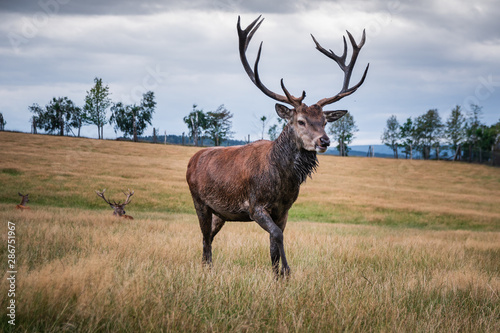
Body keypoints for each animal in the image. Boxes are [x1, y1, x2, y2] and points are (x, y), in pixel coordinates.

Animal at [186, 15, 370, 276]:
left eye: (324, 121)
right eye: (301, 120)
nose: (324, 140)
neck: (282, 181)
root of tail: (192, 160)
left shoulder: (284, 209)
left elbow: (275, 243)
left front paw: (277, 276)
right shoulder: (255, 206)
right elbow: (277, 236)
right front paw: (287, 271)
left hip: (221, 212)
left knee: (209, 235)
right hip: (199, 201)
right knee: (204, 237)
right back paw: (207, 267)